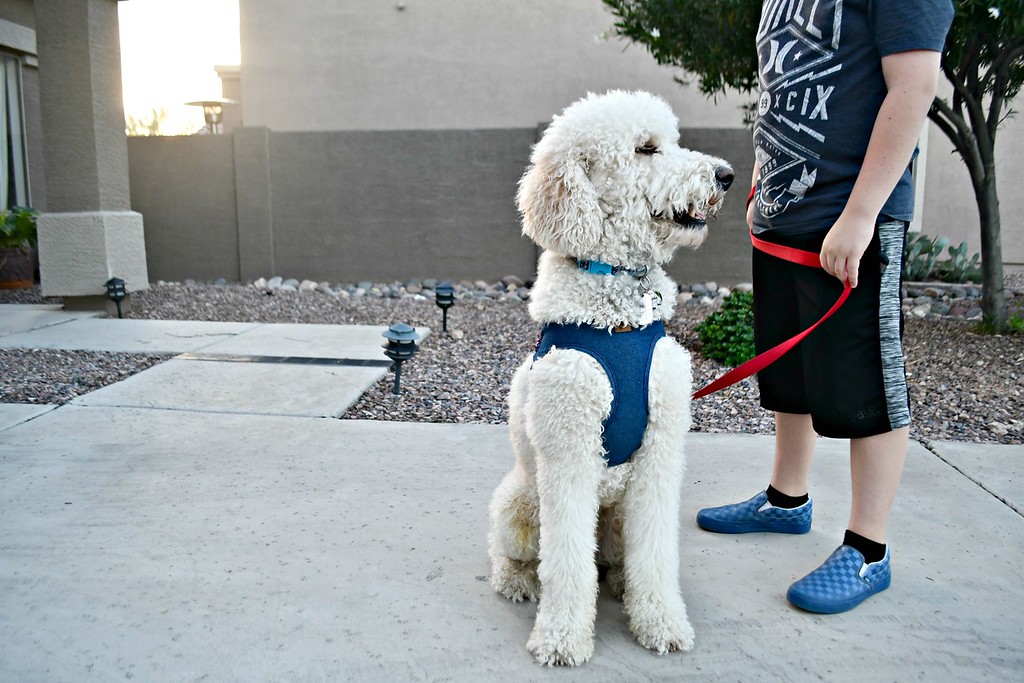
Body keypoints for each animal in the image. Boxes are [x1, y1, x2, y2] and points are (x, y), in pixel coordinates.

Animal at [485, 88, 733, 663]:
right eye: (645, 149)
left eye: (674, 141)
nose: (727, 175)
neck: (619, 318)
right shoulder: (570, 452)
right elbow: (567, 563)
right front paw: (561, 638)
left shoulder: (661, 451)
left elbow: (655, 554)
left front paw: (661, 622)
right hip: (518, 505)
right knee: (520, 555)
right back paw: (517, 581)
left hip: (617, 515)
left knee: (618, 560)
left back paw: (620, 583)